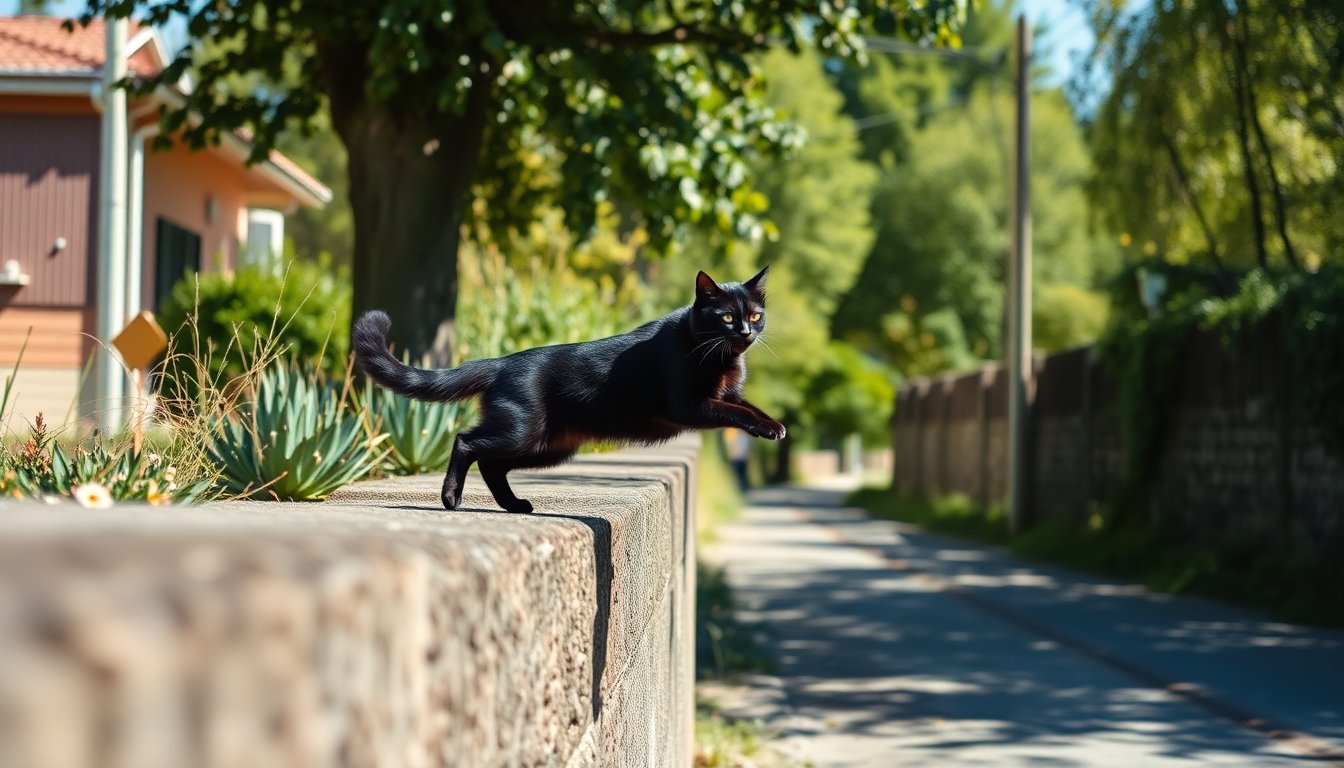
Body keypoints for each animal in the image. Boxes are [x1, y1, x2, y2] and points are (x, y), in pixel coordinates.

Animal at [352, 267, 784, 513]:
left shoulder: (726, 394)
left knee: (491, 464)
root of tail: (501, 362)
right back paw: (451, 499)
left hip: (548, 446)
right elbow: (735, 412)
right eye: (726, 317)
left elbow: (748, 406)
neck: (724, 358)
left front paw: (774, 425)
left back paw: (515, 505)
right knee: (465, 442)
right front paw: (767, 428)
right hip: (521, 432)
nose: (745, 333)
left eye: (755, 316)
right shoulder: (689, 404)